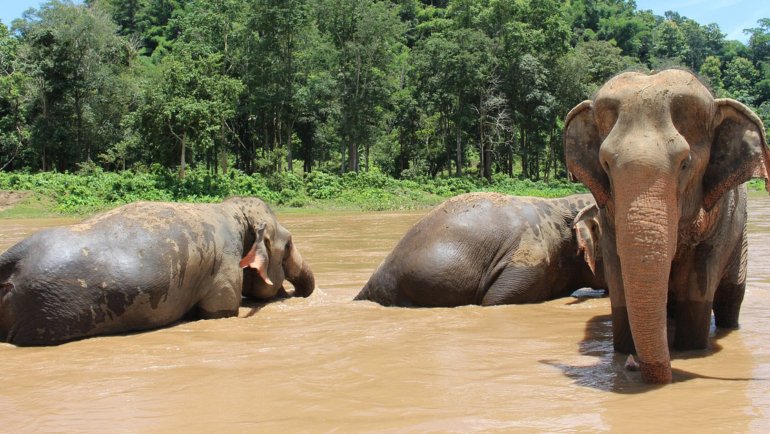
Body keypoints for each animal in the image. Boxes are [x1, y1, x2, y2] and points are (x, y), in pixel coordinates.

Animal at [0, 197, 314, 346]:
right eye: (288, 246)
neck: (233, 212)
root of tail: (13, 257)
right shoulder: (225, 267)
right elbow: (219, 312)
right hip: (46, 311)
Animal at [560, 68, 768, 384]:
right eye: (606, 164)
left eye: (685, 164)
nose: (632, 366)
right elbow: (618, 278)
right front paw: (624, 352)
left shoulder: (721, 218)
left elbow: (699, 284)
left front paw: (690, 350)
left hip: (740, 237)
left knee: (731, 299)